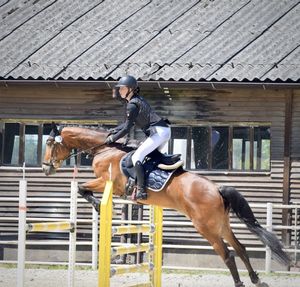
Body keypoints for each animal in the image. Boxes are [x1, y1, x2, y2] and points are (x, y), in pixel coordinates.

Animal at [42, 125, 290, 286]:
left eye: (49, 143)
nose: (46, 168)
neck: (106, 149)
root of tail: (217, 189)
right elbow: (82, 189)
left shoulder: (107, 182)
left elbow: (83, 189)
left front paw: (95, 204)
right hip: (222, 225)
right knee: (241, 248)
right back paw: (257, 280)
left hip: (206, 228)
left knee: (228, 255)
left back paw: (241, 283)